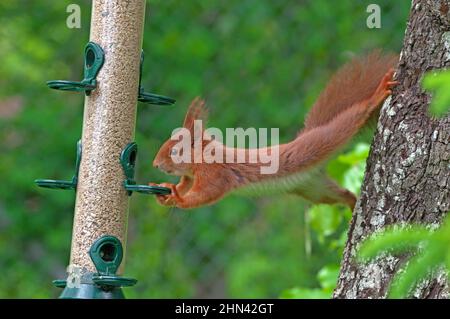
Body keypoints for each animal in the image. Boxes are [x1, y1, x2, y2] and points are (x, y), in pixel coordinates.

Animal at [150, 52, 398, 210]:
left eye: (174, 151)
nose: (155, 165)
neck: (201, 157)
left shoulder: (216, 172)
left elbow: (205, 194)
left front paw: (179, 199)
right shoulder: (192, 174)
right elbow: (185, 184)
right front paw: (166, 189)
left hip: (327, 137)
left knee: (353, 116)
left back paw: (377, 94)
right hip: (313, 189)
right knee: (342, 194)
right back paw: (352, 204)